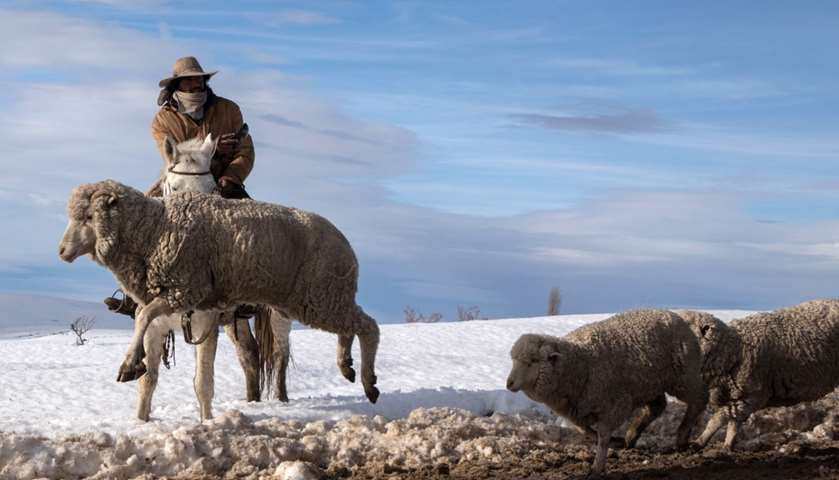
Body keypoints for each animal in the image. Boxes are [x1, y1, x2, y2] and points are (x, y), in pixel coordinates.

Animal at [58, 179, 380, 403]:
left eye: (89, 217)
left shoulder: (185, 289)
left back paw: (367, 382)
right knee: (347, 328)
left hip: (321, 296)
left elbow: (143, 316)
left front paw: (129, 364)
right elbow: (145, 320)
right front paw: (136, 365)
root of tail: (345, 243)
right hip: (316, 299)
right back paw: (346, 366)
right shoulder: (178, 297)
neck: (153, 229)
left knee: (366, 327)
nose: (61, 251)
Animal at [506, 309, 707, 475]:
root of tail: (675, 315)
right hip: (650, 384)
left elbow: (602, 436)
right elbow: (586, 430)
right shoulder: (578, 409)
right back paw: (631, 435)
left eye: (533, 361)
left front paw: (597, 467)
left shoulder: (615, 405)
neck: (580, 363)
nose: (509, 383)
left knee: (699, 399)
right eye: (513, 360)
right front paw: (615, 442)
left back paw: (683, 436)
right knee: (657, 407)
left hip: (683, 377)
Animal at [678, 299, 839, 450]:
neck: (733, 350)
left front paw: (699, 442)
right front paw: (727, 445)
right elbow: (733, 423)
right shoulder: (740, 398)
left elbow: (718, 420)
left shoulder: (753, 395)